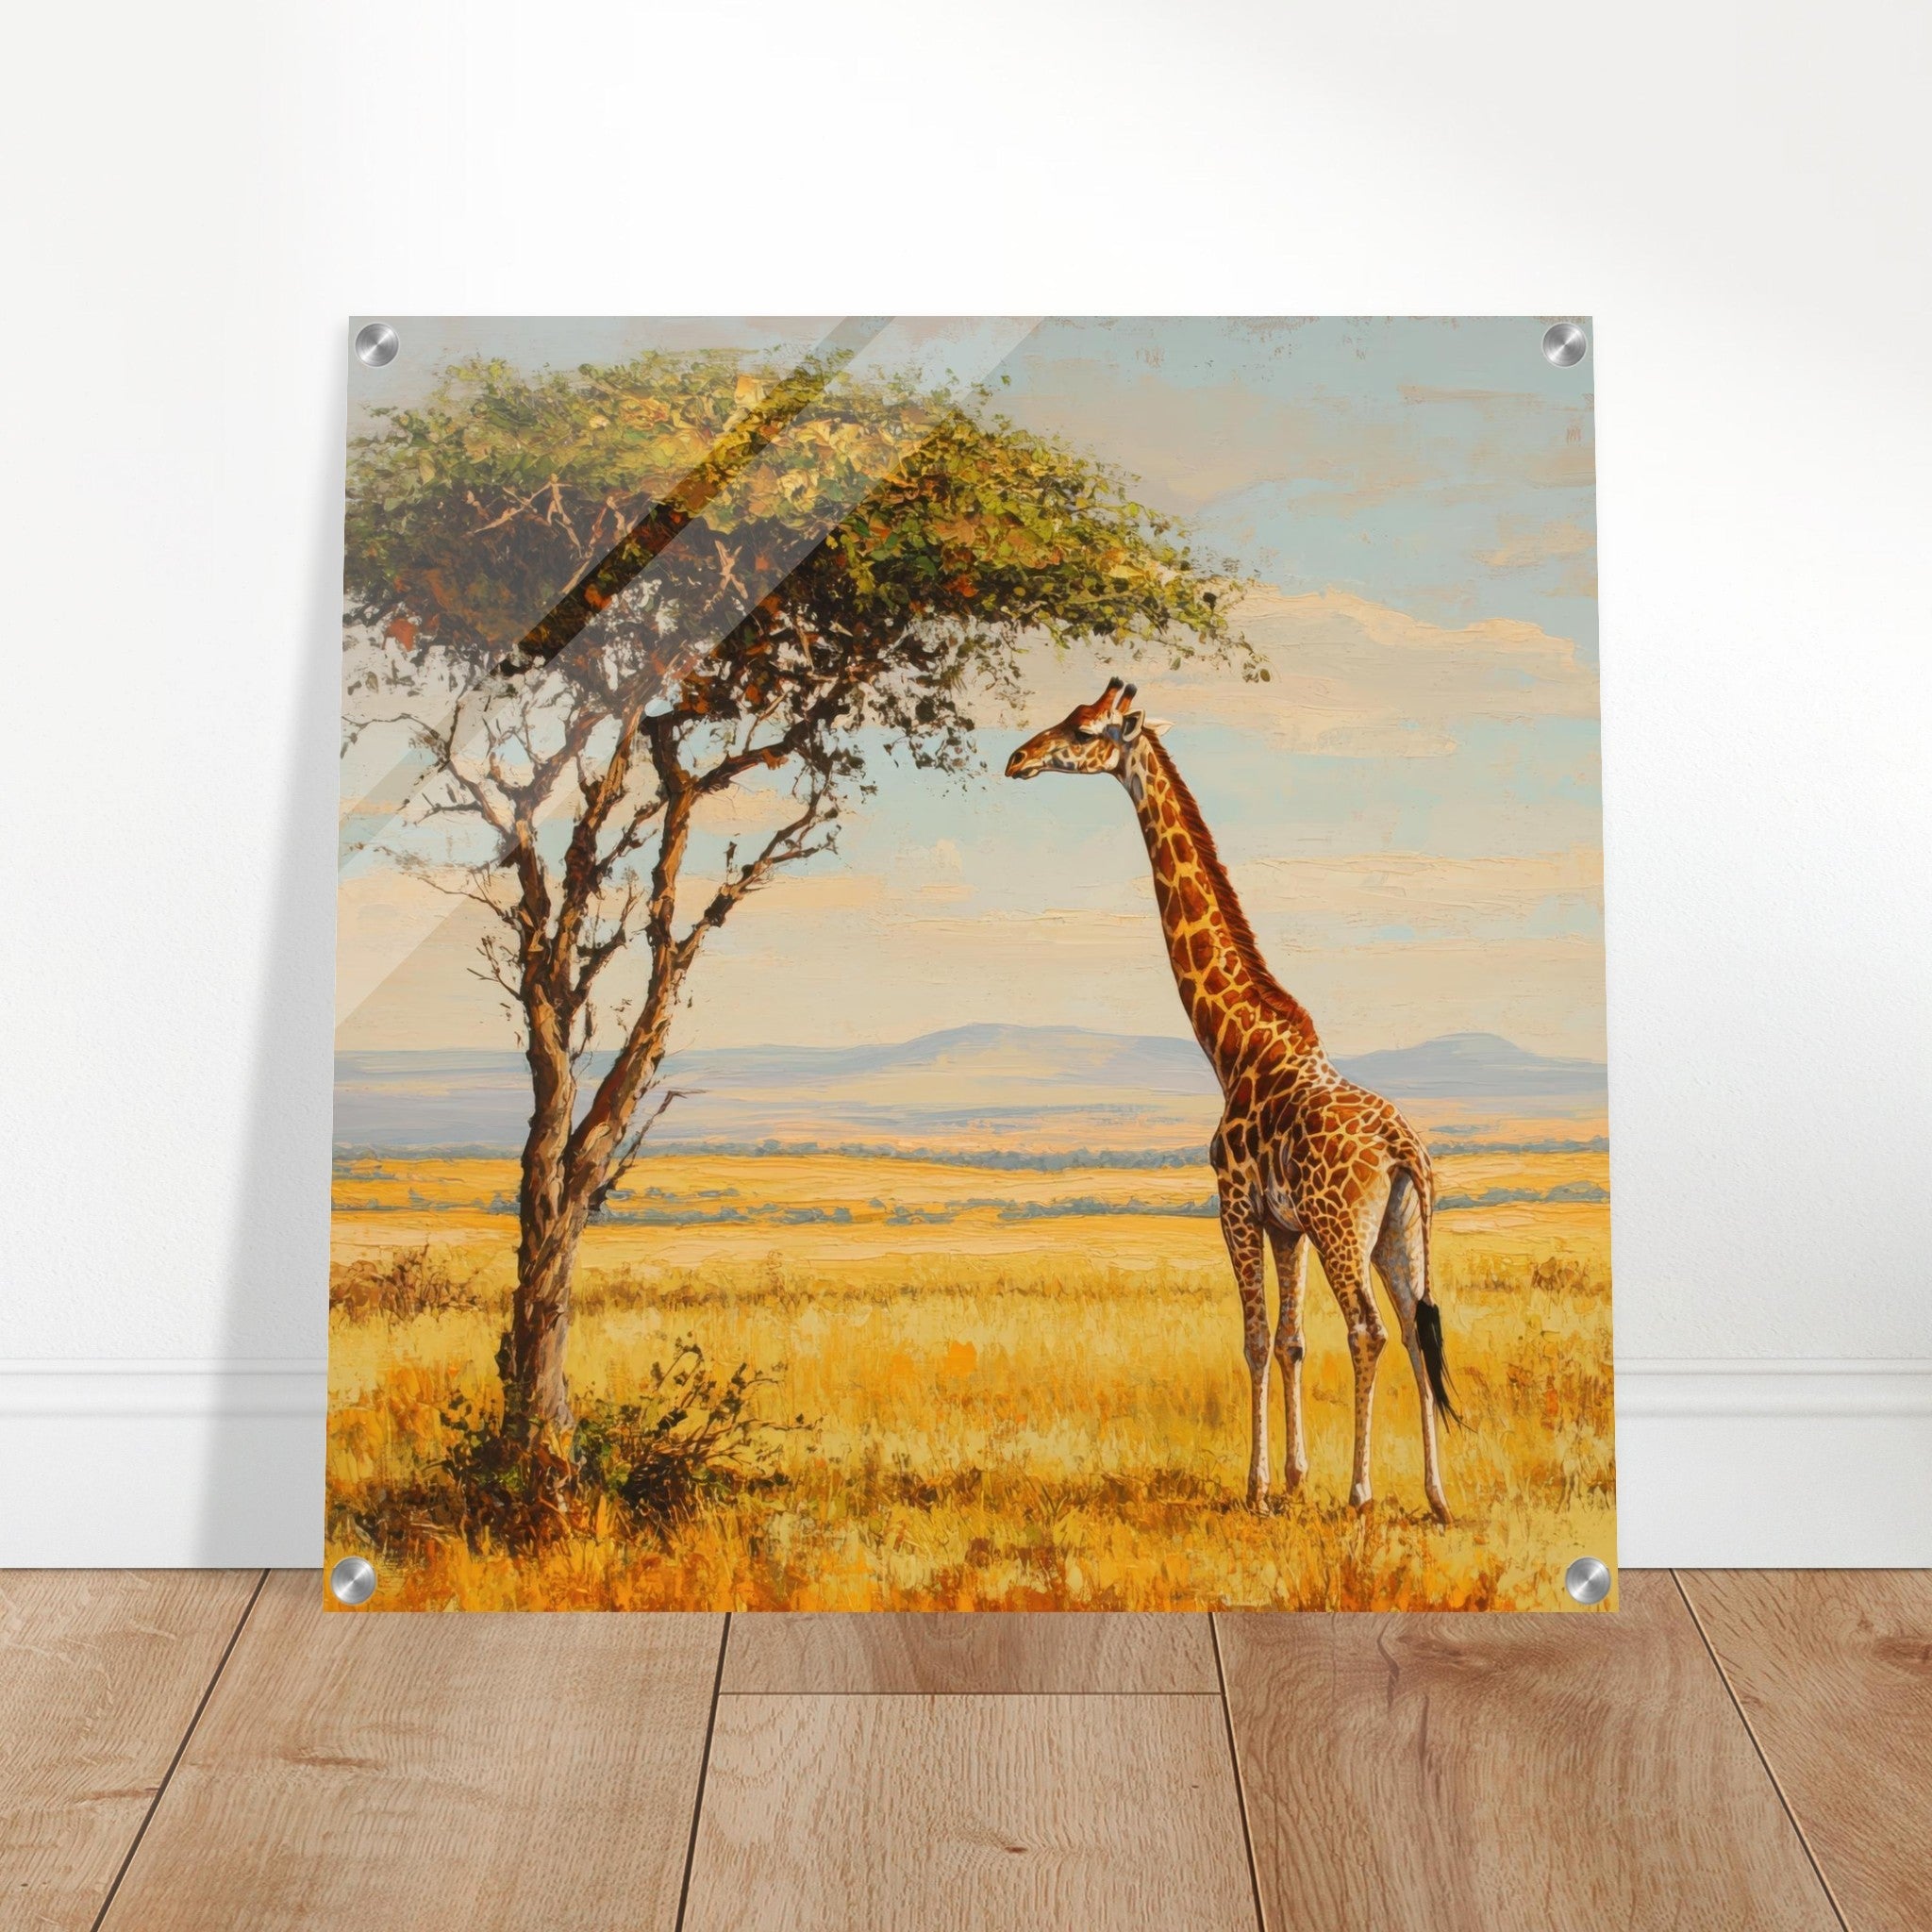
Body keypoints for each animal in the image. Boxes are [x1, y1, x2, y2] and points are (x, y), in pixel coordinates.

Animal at [1006, 678, 1457, 1521]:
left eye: (1082, 730)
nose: (1017, 758)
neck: (1233, 1044)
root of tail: (1403, 1150)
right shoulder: (1286, 1225)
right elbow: (1289, 1341)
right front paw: (1294, 1479)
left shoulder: (1236, 1206)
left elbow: (1251, 1341)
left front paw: (1259, 1489)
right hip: (1398, 1230)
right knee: (1418, 1329)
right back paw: (1438, 1498)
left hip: (1345, 1229)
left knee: (1371, 1331)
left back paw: (1363, 1494)